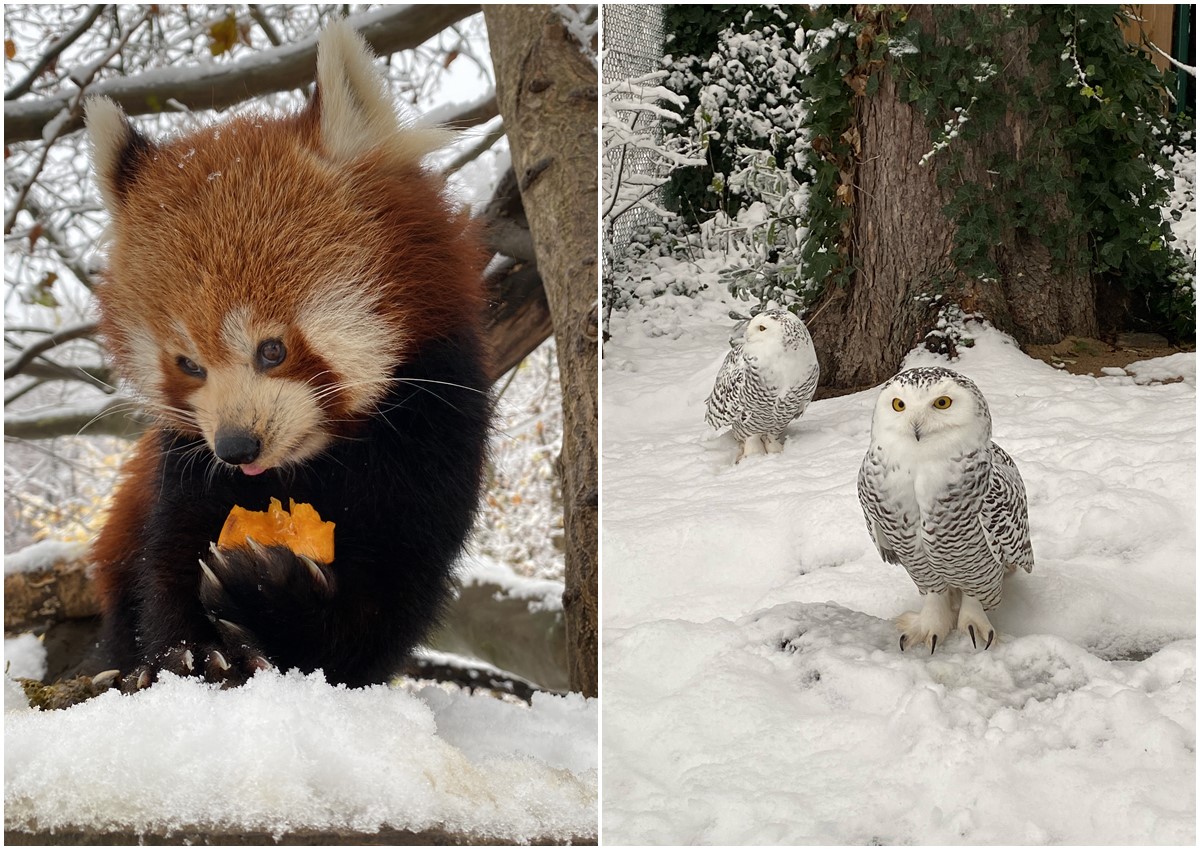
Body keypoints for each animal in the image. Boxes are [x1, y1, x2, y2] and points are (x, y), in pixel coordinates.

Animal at [85, 23, 492, 686]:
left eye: (272, 349)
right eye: (189, 365)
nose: (237, 447)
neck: (314, 463)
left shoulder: (435, 437)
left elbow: (377, 622)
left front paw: (269, 596)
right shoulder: (184, 467)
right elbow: (169, 562)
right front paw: (185, 654)